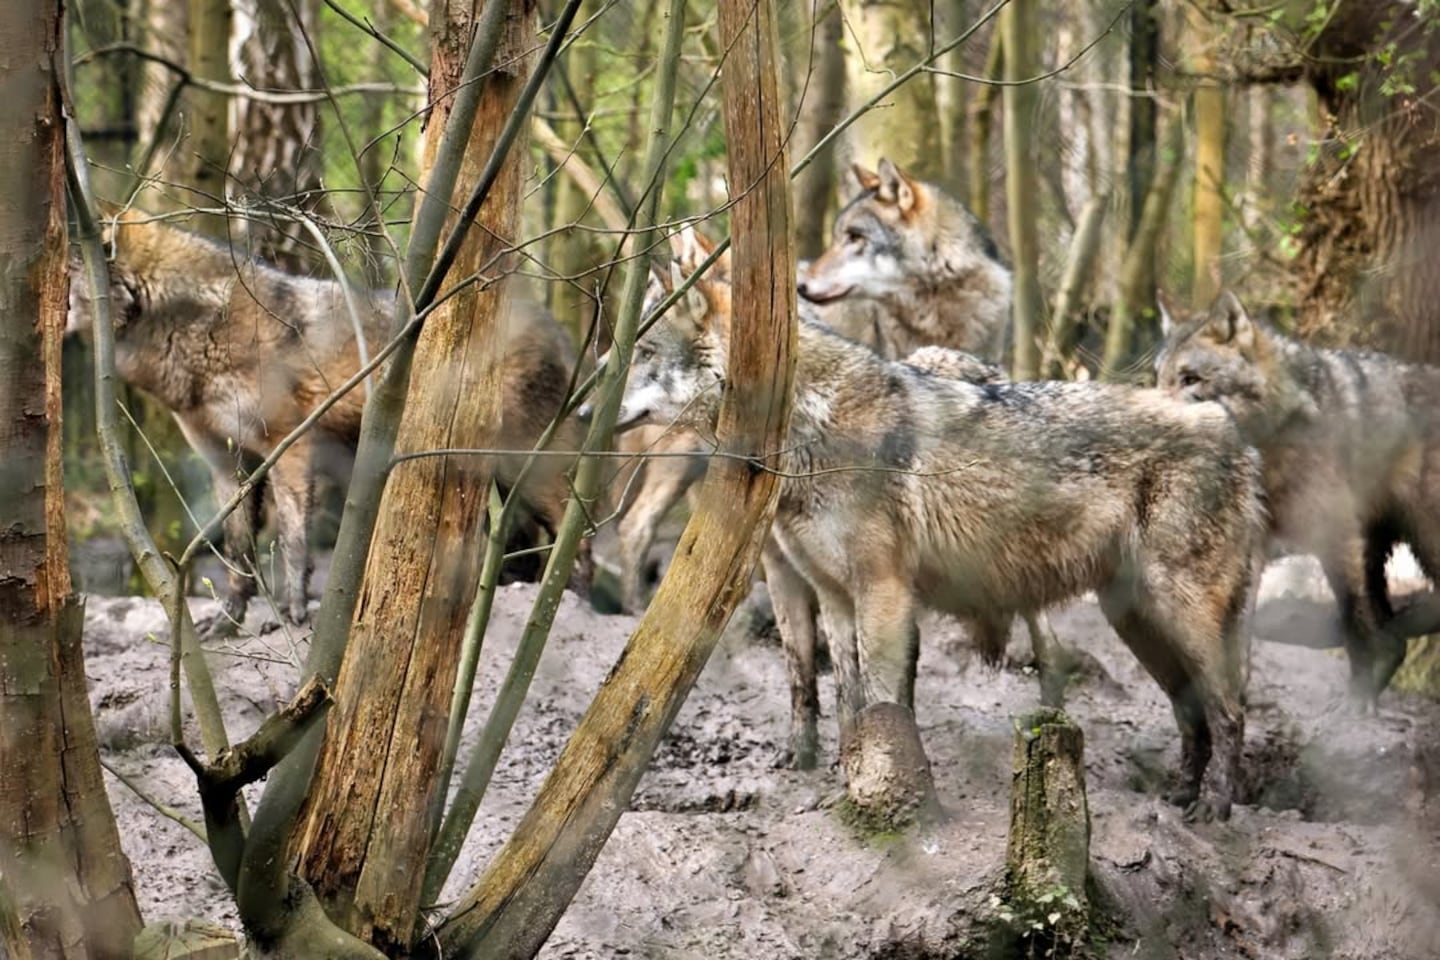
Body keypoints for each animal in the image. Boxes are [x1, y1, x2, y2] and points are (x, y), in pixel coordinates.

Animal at [68, 208, 591, 627]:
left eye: (67, 272)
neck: (199, 331)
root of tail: (560, 332)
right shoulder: (227, 464)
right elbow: (239, 552)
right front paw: (229, 618)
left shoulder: (291, 447)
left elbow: (293, 540)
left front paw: (293, 612)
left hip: (528, 467)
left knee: (573, 529)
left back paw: (565, 604)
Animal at [617, 260, 1266, 820]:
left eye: (643, 353)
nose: (599, 406)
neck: (806, 424)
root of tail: (1236, 436)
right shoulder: (832, 595)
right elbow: (847, 696)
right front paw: (847, 775)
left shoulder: (882, 589)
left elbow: (881, 694)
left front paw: (878, 788)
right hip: (1136, 622)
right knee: (1193, 713)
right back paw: (1181, 796)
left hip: (1179, 616)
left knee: (1229, 709)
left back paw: (1215, 808)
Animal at [1156, 290, 1440, 700]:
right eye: (1158, 378)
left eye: (1190, 379)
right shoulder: (1254, 548)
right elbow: (1237, 638)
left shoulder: (1335, 536)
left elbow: (1355, 629)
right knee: (1395, 641)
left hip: (1423, 542)